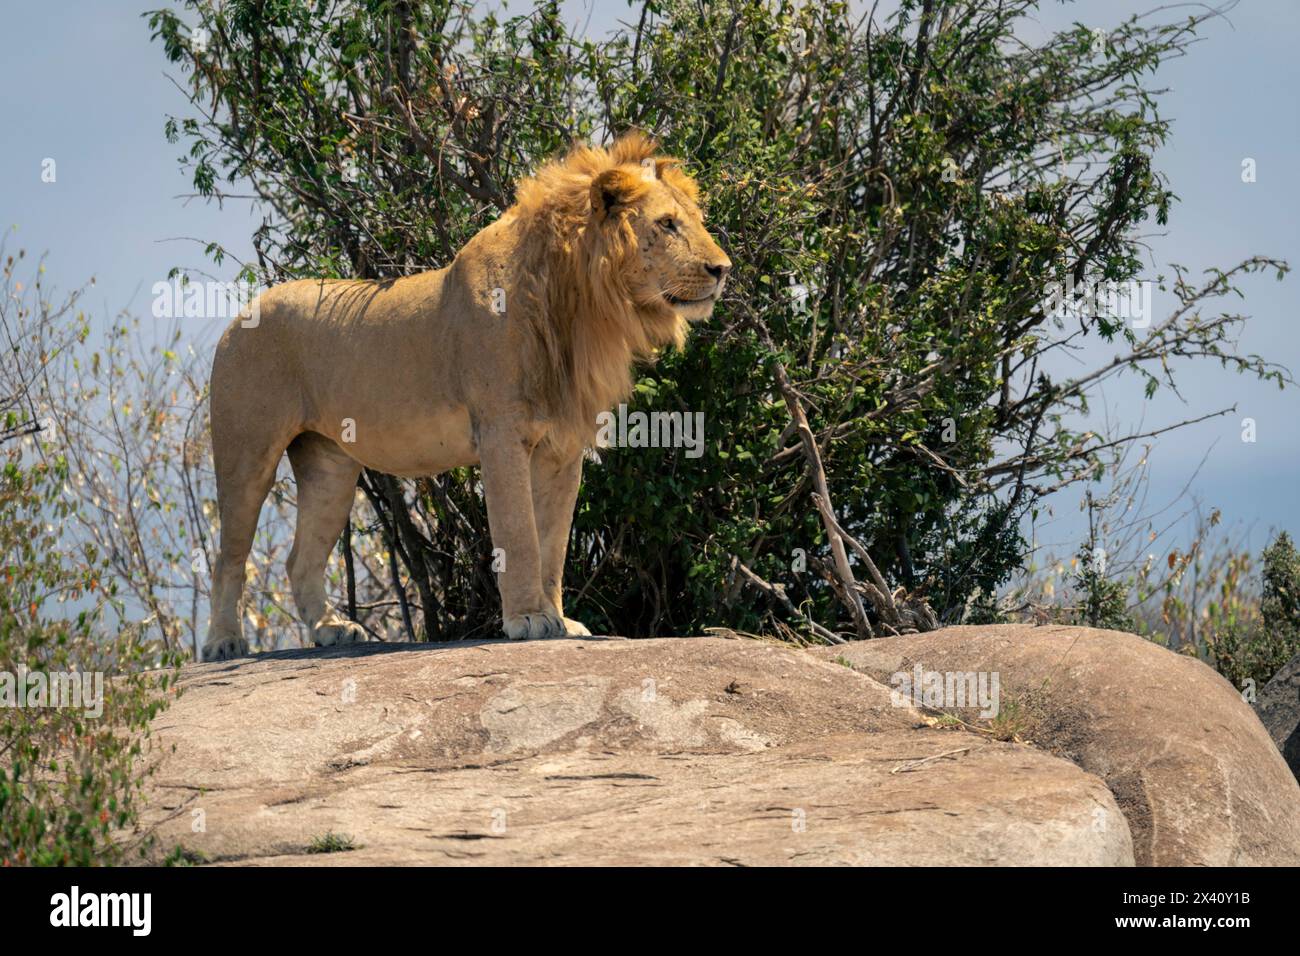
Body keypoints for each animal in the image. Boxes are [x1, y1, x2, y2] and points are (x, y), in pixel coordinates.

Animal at [202, 132, 733, 658]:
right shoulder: (501, 434)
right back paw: (224, 644)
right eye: (667, 223)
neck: (579, 304)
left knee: (300, 558)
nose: (722, 268)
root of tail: (244, 310)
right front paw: (529, 619)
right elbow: (519, 533)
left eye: (695, 219)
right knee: (229, 554)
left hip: (328, 463)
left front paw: (560, 620)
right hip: (247, 450)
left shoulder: (561, 448)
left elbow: (553, 543)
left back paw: (332, 629)